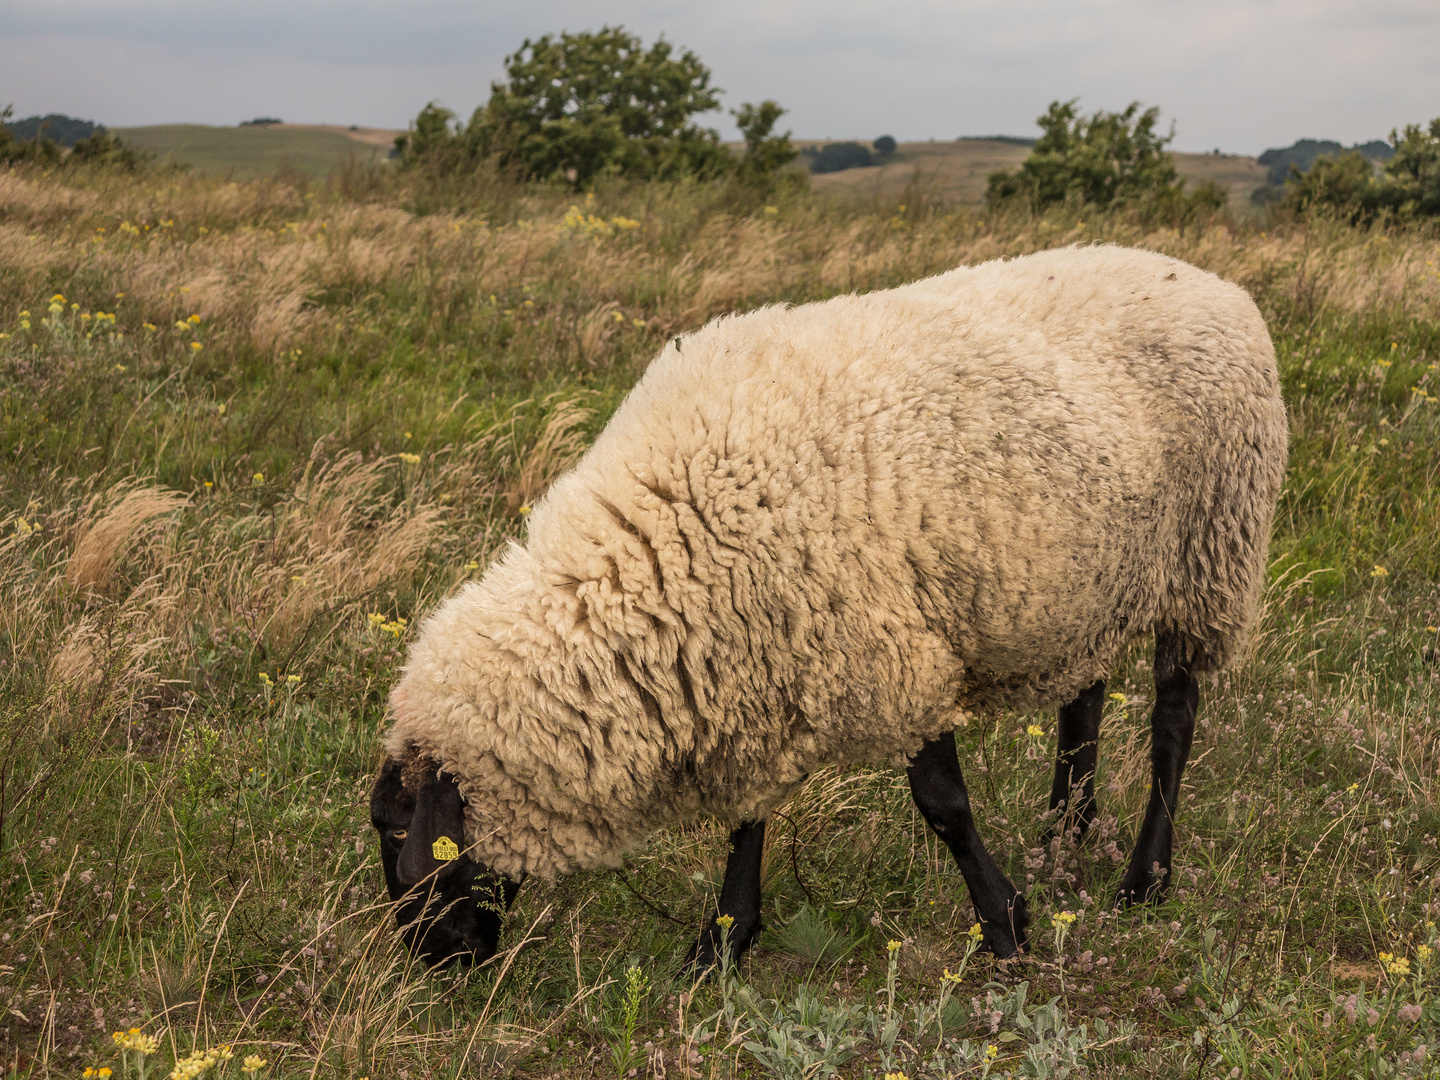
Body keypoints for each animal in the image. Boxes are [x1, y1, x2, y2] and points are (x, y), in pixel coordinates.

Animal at [365, 244, 1290, 973]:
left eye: (401, 842)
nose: (436, 965)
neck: (671, 529)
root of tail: (1215, 283)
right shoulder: (752, 660)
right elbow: (748, 816)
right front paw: (723, 939)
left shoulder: (894, 651)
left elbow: (943, 805)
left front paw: (1004, 927)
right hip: (1084, 577)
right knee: (1084, 698)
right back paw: (1064, 837)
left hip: (1211, 554)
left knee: (1174, 719)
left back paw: (1145, 877)